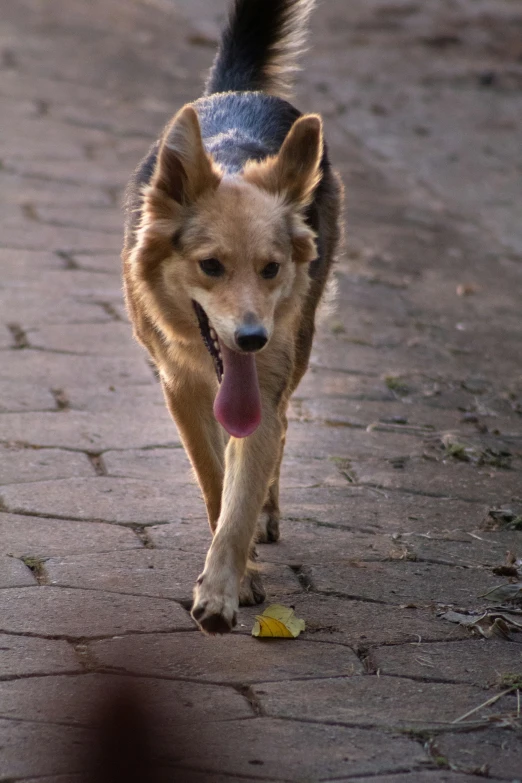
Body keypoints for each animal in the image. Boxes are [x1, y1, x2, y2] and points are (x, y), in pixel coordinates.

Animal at [121, 0, 342, 636]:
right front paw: (238, 581)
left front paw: (222, 588)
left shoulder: (262, 385)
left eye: (270, 269)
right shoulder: (180, 389)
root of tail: (240, 89)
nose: (251, 337)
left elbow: (239, 502)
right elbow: (217, 483)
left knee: (284, 427)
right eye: (211, 266)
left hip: (301, 338)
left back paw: (268, 510)